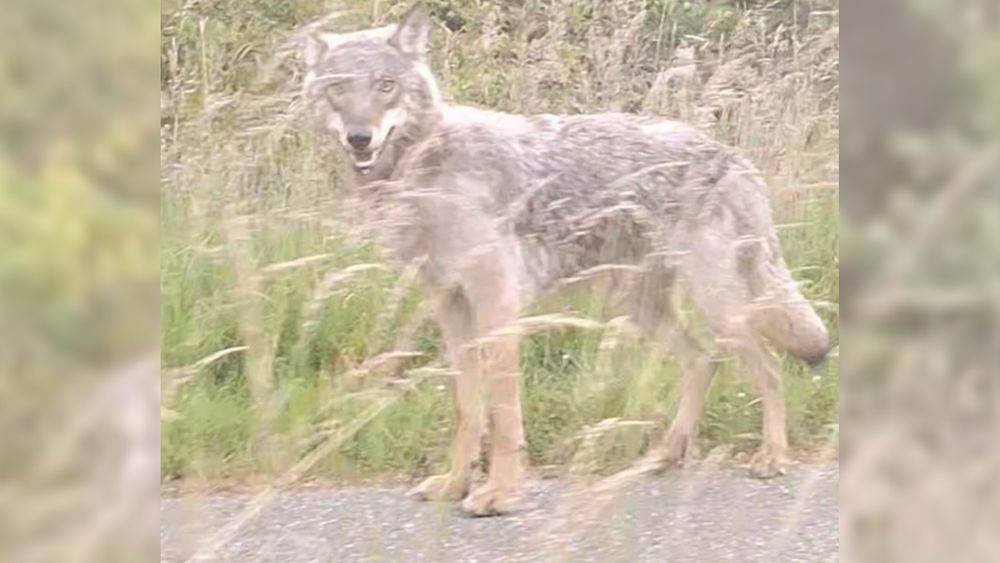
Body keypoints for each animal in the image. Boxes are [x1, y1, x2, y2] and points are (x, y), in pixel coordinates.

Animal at [302, 4, 831, 516]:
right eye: (338, 88)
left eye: (385, 86)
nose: (359, 138)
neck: (425, 172)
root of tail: (732, 155)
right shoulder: (452, 311)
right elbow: (467, 412)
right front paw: (454, 486)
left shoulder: (498, 306)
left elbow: (504, 414)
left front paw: (500, 495)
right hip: (641, 308)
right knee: (704, 361)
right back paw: (664, 455)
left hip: (719, 305)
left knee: (769, 368)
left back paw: (771, 457)